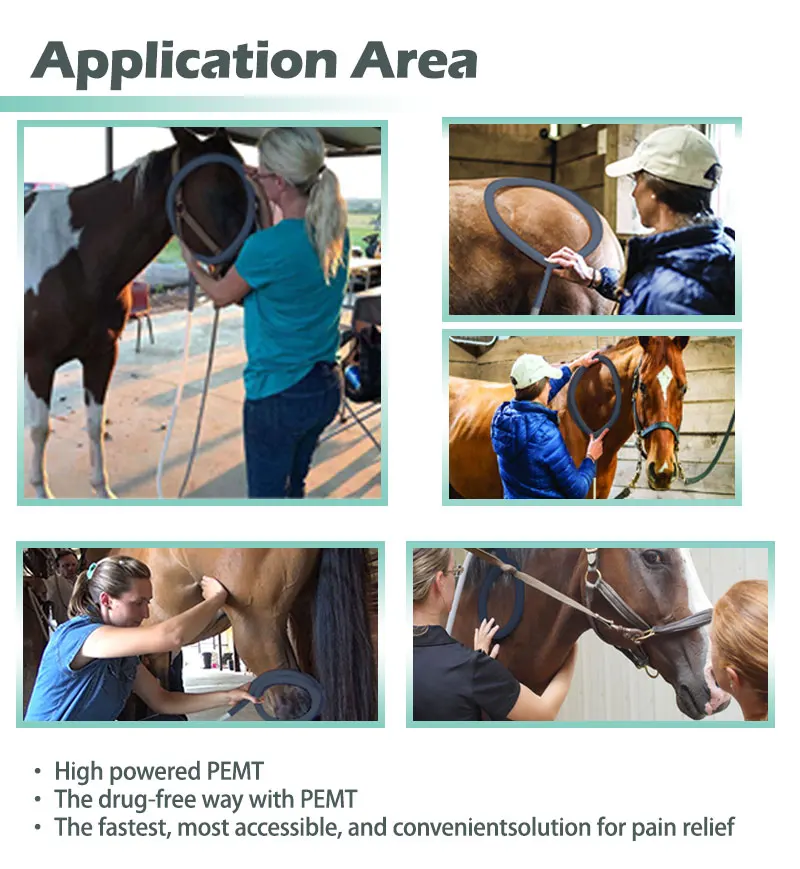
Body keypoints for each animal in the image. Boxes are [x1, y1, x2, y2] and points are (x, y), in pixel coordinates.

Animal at [24, 127, 253, 499]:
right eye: (220, 189)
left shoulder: (102, 354)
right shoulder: (38, 363)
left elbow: (94, 424)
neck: (76, 259)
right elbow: (40, 430)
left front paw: (102, 489)